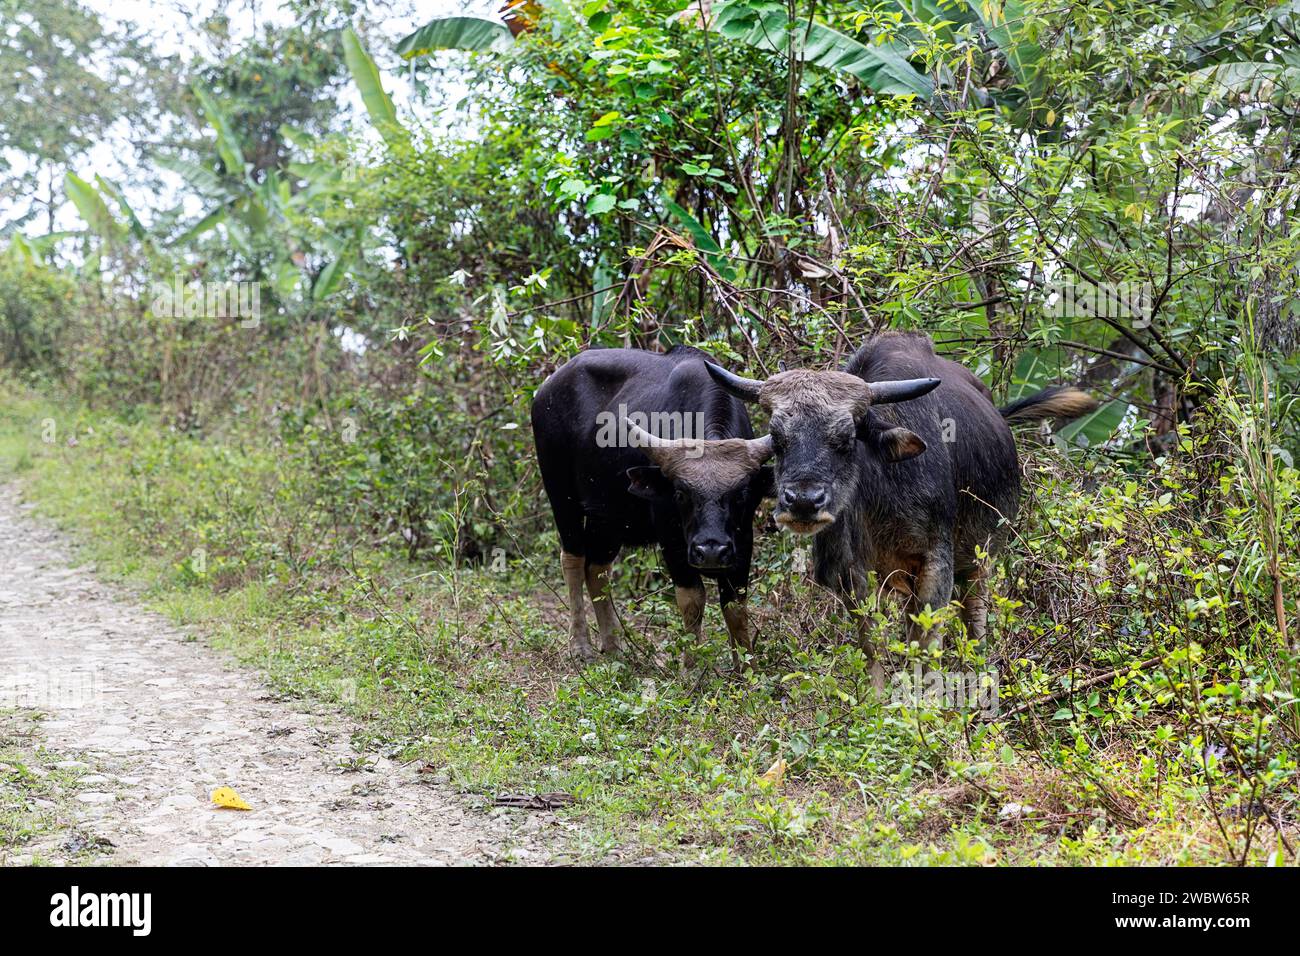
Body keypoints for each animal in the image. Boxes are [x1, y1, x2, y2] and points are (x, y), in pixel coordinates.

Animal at [712, 330, 1097, 650]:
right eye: (777, 439)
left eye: (846, 438)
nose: (804, 502)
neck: (877, 499)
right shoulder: (853, 575)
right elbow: (873, 647)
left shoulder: (936, 565)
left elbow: (924, 646)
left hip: (981, 556)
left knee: (974, 617)